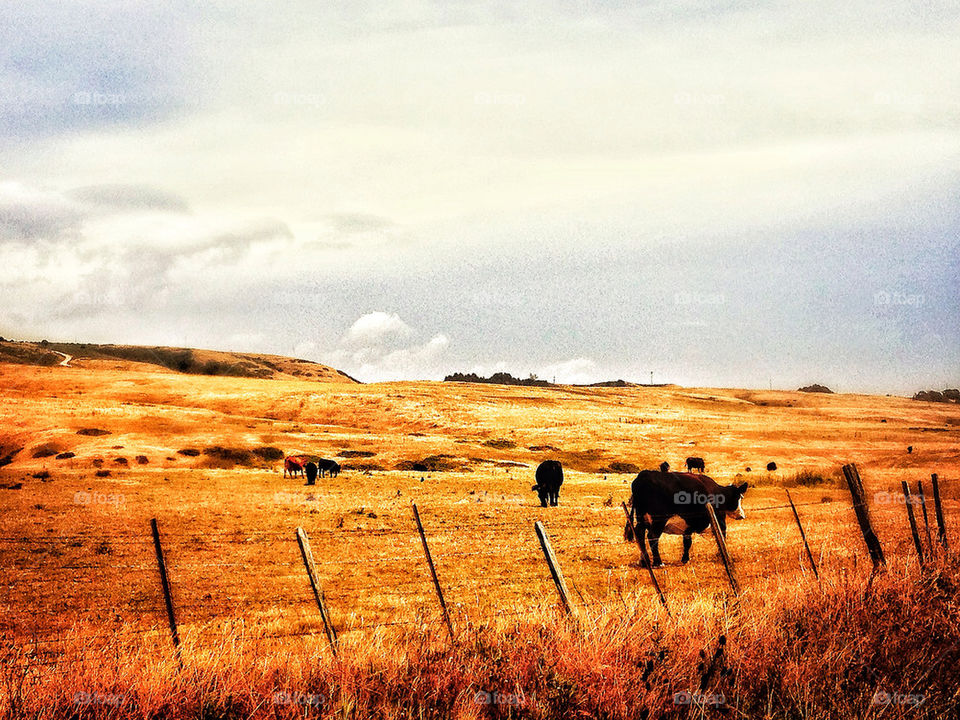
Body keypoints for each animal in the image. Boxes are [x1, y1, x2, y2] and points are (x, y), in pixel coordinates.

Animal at [624, 472, 752, 568]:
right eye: (739, 497)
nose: (742, 515)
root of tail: (643, 475)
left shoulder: (688, 524)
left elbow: (687, 542)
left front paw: (685, 559)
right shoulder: (719, 519)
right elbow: (722, 536)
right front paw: (722, 555)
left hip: (642, 519)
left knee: (640, 535)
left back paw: (644, 561)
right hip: (658, 521)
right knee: (652, 537)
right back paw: (658, 562)